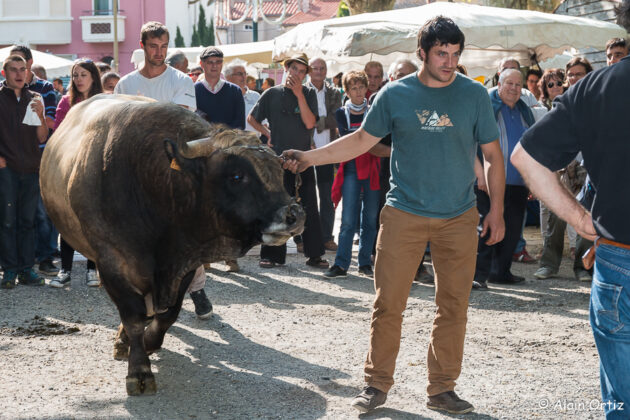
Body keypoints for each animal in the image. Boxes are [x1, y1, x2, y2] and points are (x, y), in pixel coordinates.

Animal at [39, 94, 306, 394]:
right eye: (236, 175)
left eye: (279, 171)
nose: (294, 215)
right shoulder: (111, 263)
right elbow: (133, 317)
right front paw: (139, 369)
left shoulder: (185, 263)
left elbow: (168, 314)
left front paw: (148, 342)